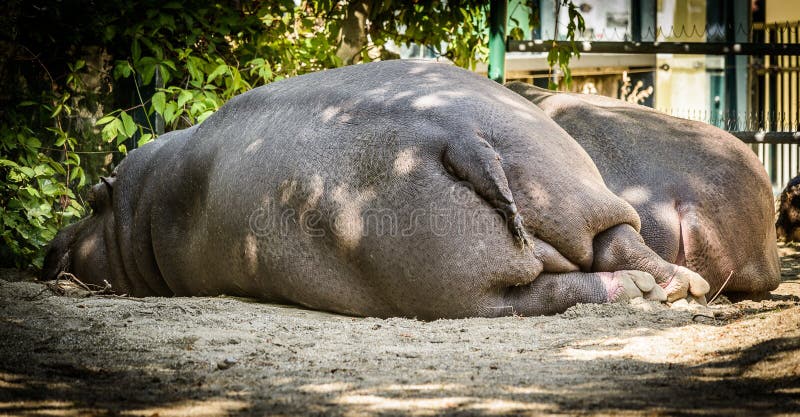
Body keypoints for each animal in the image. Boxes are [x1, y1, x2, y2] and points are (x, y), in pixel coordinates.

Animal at [42, 60, 708, 316]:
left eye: (90, 201)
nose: (49, 246)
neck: (135, 207)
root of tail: (459, 136)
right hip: (564, 188)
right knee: (616, 250)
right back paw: (676, 289)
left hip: (457, 284)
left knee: (561, 288)